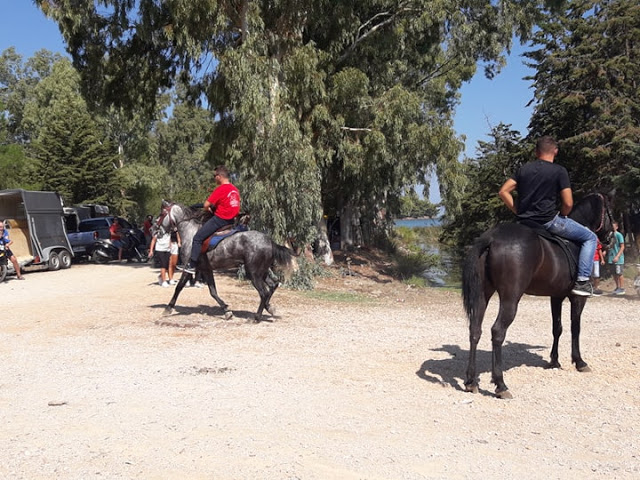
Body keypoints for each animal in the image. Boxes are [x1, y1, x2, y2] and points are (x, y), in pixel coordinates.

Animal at [156, 201, 296, 320]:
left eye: (162, 214)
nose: (156, 230)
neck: (190, 233)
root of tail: (270, 241)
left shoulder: (188, 268)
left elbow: (179, 287)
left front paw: (168, 308)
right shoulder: (206, 270)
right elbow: (213, 292)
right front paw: (227, 311)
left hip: (253, 273)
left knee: (264, 292)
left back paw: (256, 317)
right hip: (262, 271)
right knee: (272, 286)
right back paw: (269, 308)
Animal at [460, 193, 616, 400]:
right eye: (610, 212)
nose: (611, 238)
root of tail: (491, 237)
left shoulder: (556, 296)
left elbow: (557, 328)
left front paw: (554, 361)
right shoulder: (577, 298)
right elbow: (575, 328)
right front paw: (579, 361)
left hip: (482, 295)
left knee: (475, 330)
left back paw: (471, 381)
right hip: (510, 298)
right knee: (497, 332)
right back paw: (500, 384)